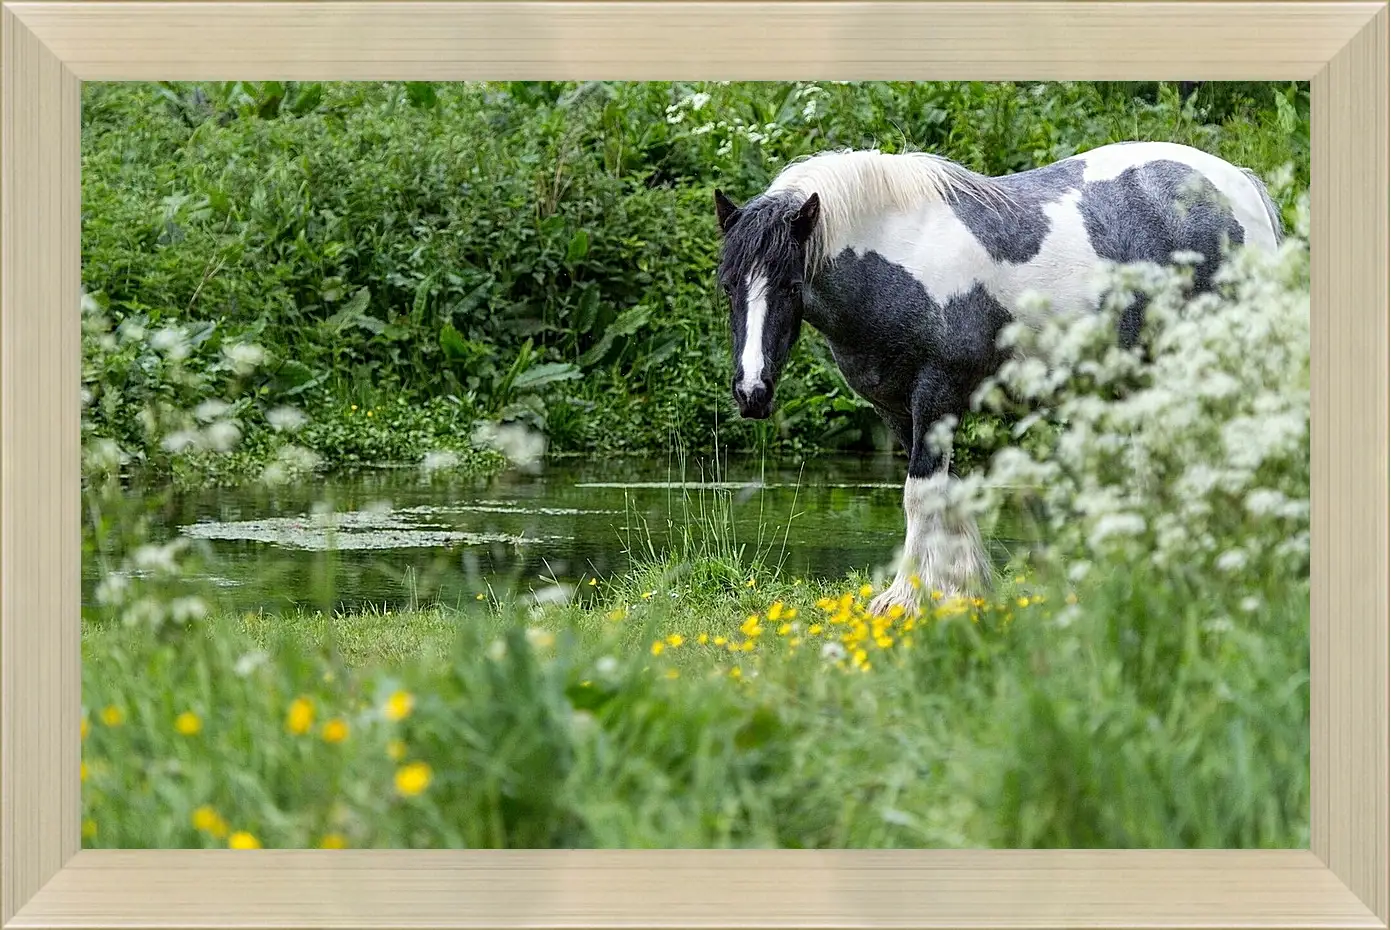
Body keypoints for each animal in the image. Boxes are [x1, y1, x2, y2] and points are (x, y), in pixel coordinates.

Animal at [712, 139, 1285, 617]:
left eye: (791, 285)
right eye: (728, 286)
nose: (751, 392)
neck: (899, 254)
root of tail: (1239, 185)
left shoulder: (937, 395)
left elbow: (920, 495)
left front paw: (906, 600)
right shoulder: (898, 410)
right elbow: (946, 494)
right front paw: (964, 590)